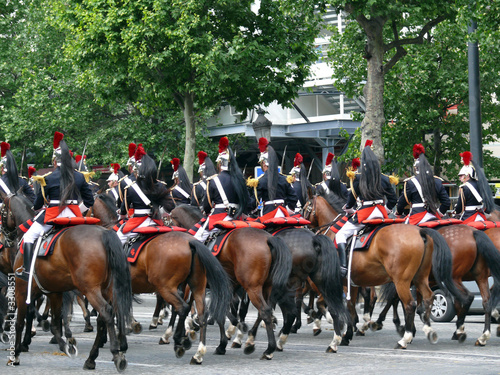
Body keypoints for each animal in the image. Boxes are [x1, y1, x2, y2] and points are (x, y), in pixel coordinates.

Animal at [0, 194, 133, 374]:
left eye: (2, 210)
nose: (4, 238)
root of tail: (104, 234)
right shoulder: (54, 292)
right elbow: (55, 323)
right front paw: (66, 344)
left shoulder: (22, 290)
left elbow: (21, 320)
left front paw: (16, 352)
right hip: (108, 289)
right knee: (107, 315)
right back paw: (93, 357)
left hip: (90, 289)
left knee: (105, 311)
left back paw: (116, 353)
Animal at [88, 194, 232, 364]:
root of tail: (190, 241)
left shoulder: (112, 289)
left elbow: (110, 314)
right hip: (197, 287)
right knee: (204, 312)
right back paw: (199, 352)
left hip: (166, 287)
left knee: (183, 307)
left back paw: (177, 339)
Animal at [170, 206, 298, 362]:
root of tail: (268, 238)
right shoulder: (223, 287)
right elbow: (219, 311)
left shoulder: (196, 286)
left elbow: (208, 310)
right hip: (266, 287)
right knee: (266, 311)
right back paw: (252, 342)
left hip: (252, 288)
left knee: (265, 311)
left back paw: (268, 348)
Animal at [302, 195, 470, 352]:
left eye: (305, 208)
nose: (304, 227)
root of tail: (421, 231)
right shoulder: (351, 283)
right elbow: (350, 306)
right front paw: (347, 333)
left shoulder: (333, 283)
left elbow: (334, 307)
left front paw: (337, 335)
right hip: (420, 278)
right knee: (429, 297)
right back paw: (430, 330)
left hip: (402, 280)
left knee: (409, 304)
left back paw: (404, 338)